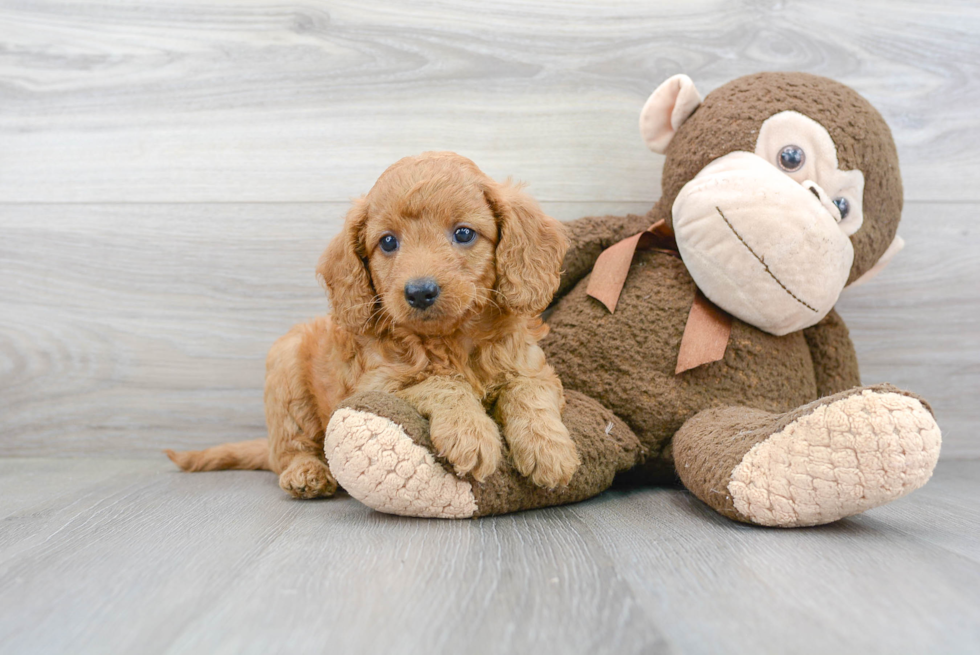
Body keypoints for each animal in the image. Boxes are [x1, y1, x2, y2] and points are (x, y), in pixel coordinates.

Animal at [167, 152, 580, 498]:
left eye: (463, 233)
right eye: (388, 242)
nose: (419, 292)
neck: (451, 338)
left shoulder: (534, 369)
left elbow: (528, 393)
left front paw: (549, 449)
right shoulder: (376, 386)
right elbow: (442, 383)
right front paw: (470, 432)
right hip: (285, 371)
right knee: (289, 448)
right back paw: (306, 473)